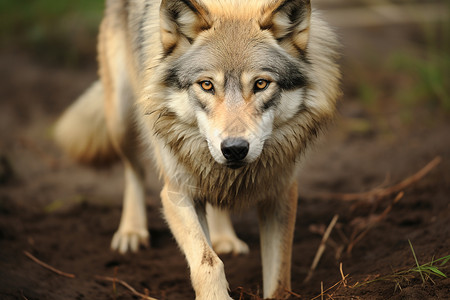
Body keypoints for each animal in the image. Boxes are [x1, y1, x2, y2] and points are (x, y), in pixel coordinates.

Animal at [54, 0, 340, 298]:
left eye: (261, 84)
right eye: (207, 85)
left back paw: (224, 237)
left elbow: (280, 278)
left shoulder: (281, 192)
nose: (234, 149)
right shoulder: (176, 192)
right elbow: (208, 262)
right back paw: (132, 231)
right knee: (134, 171)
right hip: (121, 121)